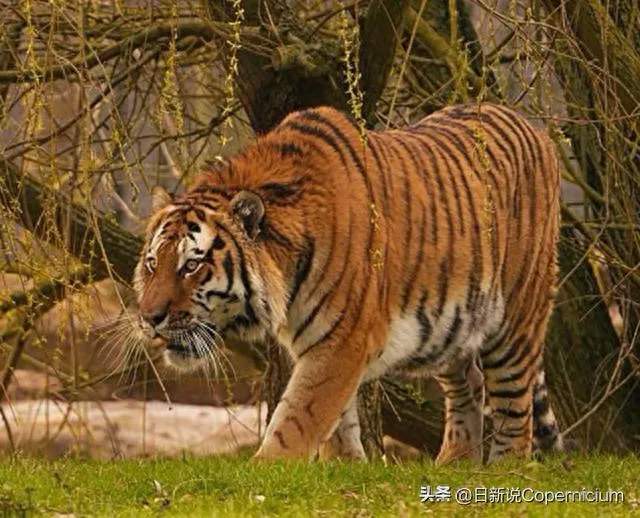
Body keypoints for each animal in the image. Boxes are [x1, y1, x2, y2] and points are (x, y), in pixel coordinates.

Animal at [134, 102, 565, 463]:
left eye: (192, 266)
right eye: (153, 264)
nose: (150, 318)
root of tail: (534, 127)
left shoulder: (343, 340)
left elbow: (300, 415)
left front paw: (267, 469)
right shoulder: (325, 342)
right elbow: (337, 419)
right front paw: (345, 467)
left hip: (516, 318)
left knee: (514, 403)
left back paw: (505, 469)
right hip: (452, 326)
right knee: (469, 383)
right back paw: (454, 463)